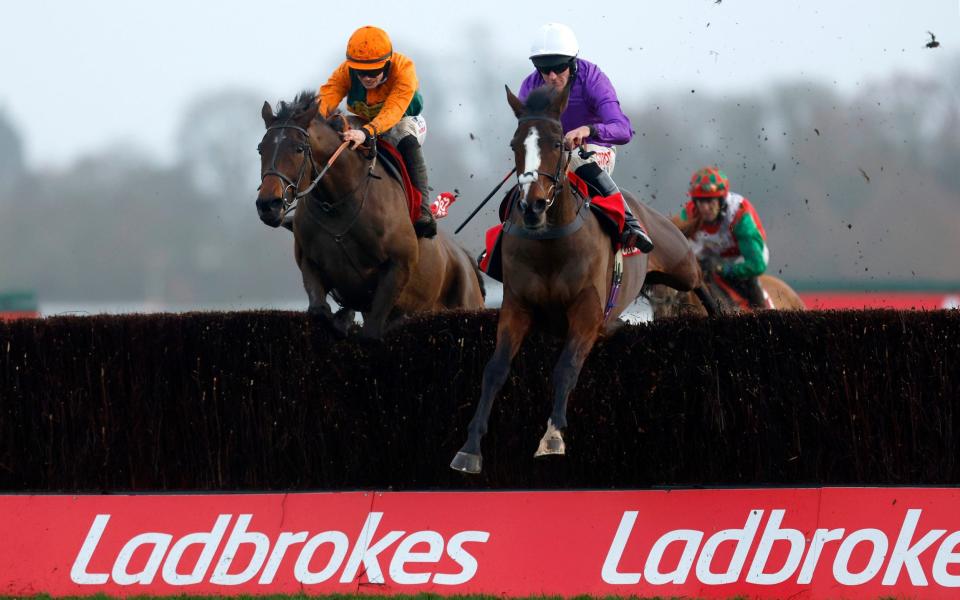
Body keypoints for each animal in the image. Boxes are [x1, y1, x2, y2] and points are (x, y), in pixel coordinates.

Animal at [255, 91, 484, 340]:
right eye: (261, 149)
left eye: (298, 148)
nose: (268, 205)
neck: (337, 206)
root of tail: (465, 258)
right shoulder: (309, 262)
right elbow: (320, 311)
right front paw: (342, 319)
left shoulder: (398, 267)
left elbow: (372, 332)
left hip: (467, 303)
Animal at [450, 84, 712, 476]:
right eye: (514, 144)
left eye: (559, 142)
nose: (532, 206)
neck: (549, 242)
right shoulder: (517, 305)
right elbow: (495, 369)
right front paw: (469, 449)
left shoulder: (586, 310)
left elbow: (565, 369)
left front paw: (552, 437)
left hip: (678, 260)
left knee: (699, 280)